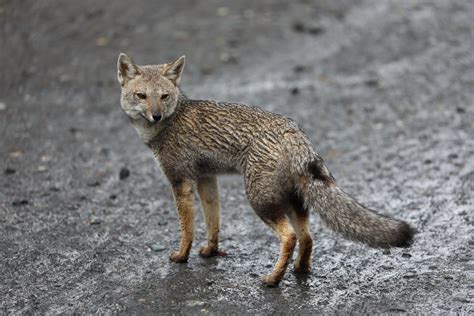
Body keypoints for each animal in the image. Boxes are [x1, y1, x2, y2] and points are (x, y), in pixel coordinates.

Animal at [116, 52, 412, 286]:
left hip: (260, 201)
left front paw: (181, 256)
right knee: (307, 237)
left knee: (290, 237)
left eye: (164, 97)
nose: (156, 115)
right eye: (142, 96)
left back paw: (273, 279)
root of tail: (291, 130)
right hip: (291, 200)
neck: (169, 123)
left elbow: (187, 228)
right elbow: (213, 222)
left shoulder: (179, 181)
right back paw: (299, 270)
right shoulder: (206, 179)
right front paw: (211, 251)